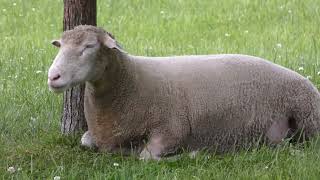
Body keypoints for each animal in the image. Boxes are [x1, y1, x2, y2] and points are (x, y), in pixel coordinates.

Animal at [47, 24, 320, 160]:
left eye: (89, 46)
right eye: (60, 46)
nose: (53, 76)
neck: (131, 80)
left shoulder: (172, 128)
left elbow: (146, 157)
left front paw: (193, 154)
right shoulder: (97, 134)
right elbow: (85, 141)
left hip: (307, 116)